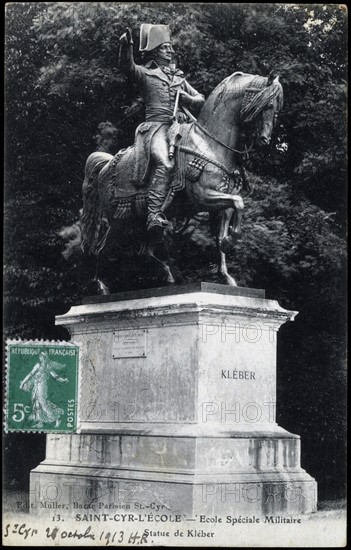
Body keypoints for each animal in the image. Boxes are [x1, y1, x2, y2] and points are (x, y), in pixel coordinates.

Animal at [80, 71, 284, 296]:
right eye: (267, 105)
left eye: (277, 109)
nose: (265, 140)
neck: (210, 144)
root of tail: (107, 165)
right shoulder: (204, 196)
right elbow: (238, 203)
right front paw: (231, 241)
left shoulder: (221, 203)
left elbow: (226, 223)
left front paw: (227, 274)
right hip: (120, 222)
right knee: (102, 248)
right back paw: (102, 287)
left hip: (141, 222)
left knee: (143, 251)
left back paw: (168, 276)